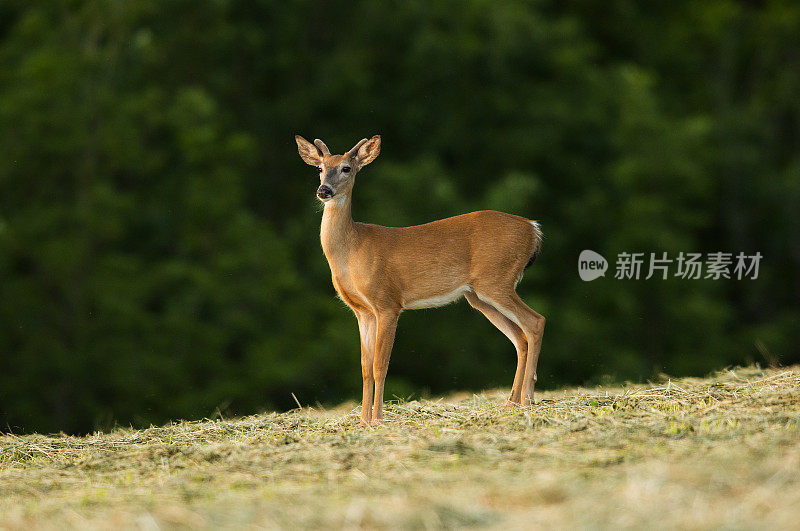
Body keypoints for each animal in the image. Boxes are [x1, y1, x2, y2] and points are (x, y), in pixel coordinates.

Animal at [296, 135, 548, 426]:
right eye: (320, 168)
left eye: (346, 168)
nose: (323, 191)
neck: (352, 250)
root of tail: (533, 228)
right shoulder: (362, 312)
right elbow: (364, 367)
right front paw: (363, 421)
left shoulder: (387, 302)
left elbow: (380, 365)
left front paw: (377, 419)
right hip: (478, 295)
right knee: (519, 337)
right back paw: (512, 403)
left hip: (496, 280)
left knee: (535, 322)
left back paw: (527, 399)